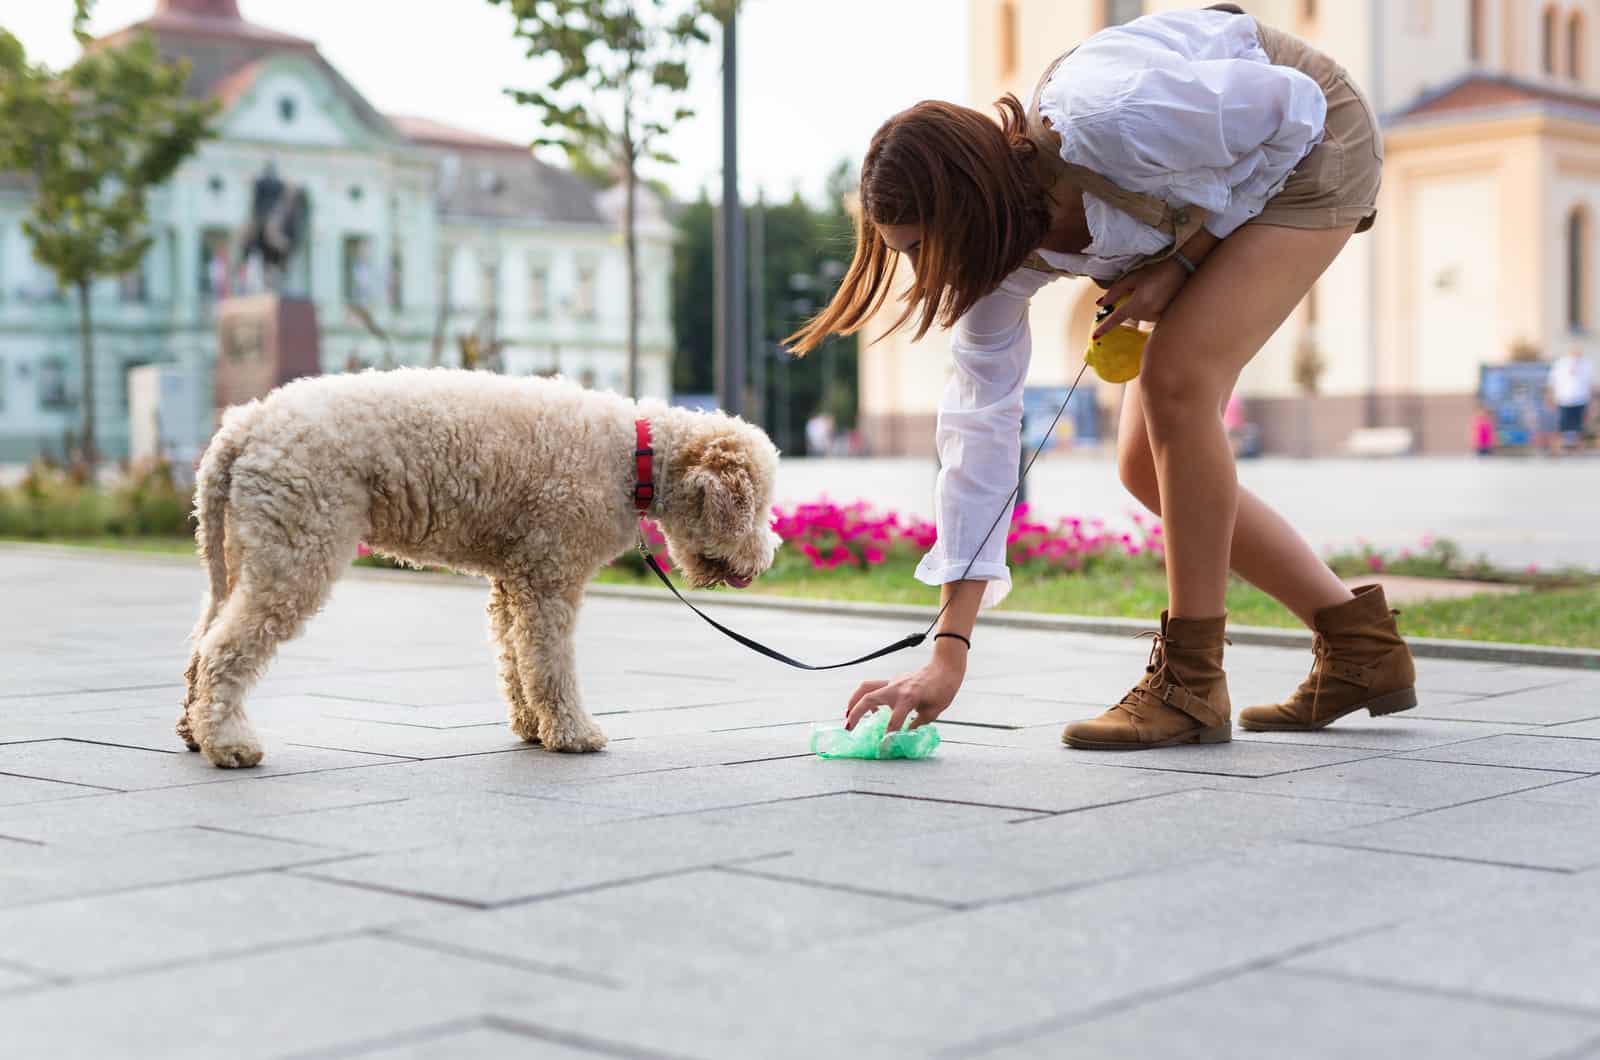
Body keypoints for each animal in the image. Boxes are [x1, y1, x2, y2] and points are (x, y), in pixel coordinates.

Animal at [181, 369, 780, 768]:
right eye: (758, 505)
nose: (766, 558)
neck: (636, 458)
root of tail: (245, 424)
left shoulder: (514, 579)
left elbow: (516, 660)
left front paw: (532, 727)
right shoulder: (550, 576)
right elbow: (550, 664)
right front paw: (573, 733)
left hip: (242, 550)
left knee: (202, 641)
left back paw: (194, 730)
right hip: (297, 548)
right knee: (226, 647)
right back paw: (230, 745)